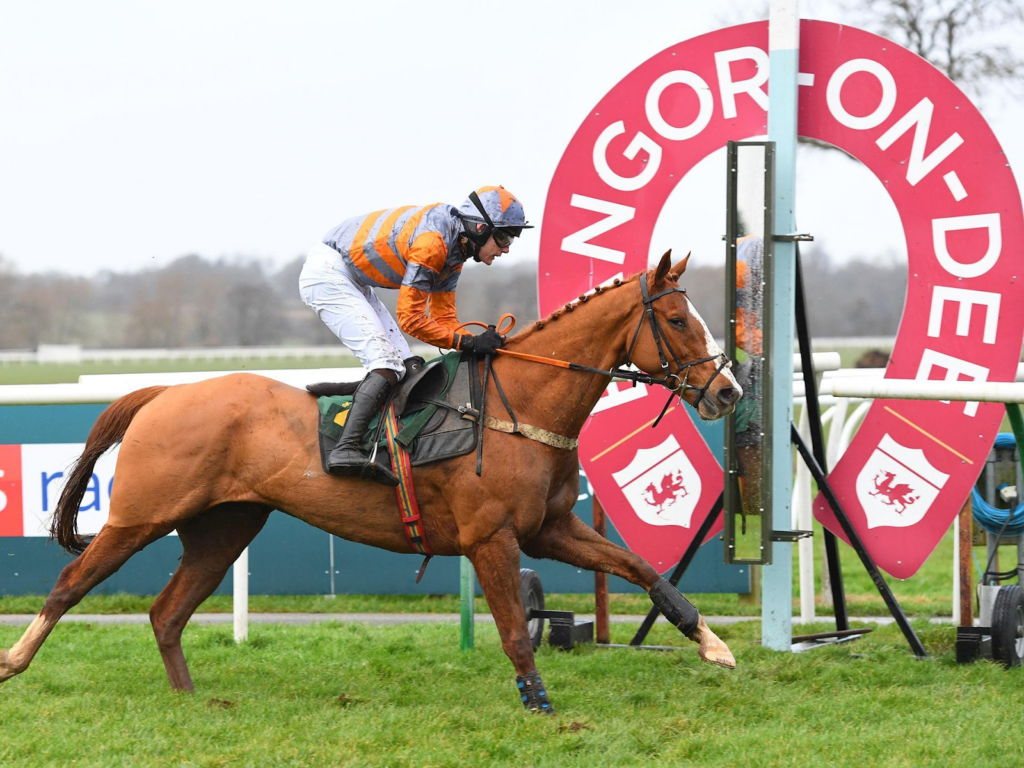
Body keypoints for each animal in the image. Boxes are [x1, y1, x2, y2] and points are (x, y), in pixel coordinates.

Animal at [0, 252, 741, 716]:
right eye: (678, 319)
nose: (727, 391)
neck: (517, 406)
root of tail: (162, 394)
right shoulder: (491, 538)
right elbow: (511, 628)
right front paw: (539, 702)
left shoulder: (551, 529)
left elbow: (640, 566)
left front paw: (713, 643)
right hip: (140, 515)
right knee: (70, 585)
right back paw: (13, 661)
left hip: (223, 529)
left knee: (166, 612)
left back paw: (193, 702)